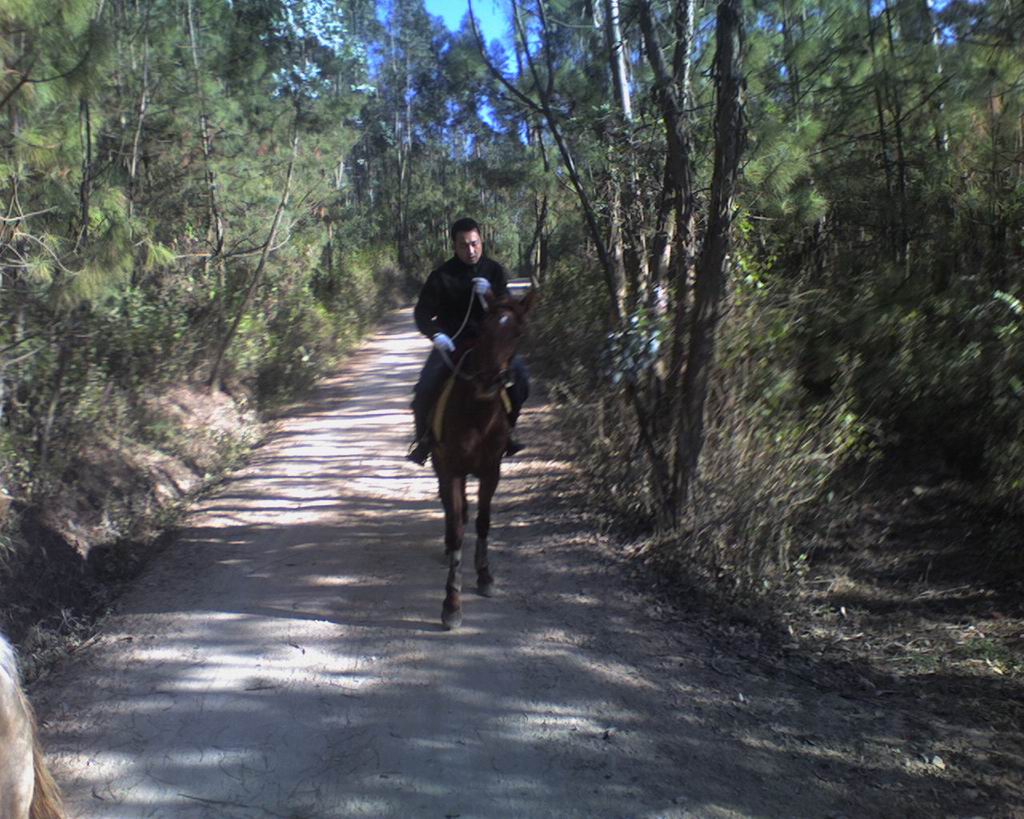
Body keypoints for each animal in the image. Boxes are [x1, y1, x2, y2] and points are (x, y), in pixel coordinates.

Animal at [432, 288, 536, 626]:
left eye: (518, 333)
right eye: (482, 329)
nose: (490, 381)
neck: (478, 414)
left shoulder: (492, 470)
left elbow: (483, 523)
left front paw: (484, 575)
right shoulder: (452, 470)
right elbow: (457, 529)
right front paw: (451, 603)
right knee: (452, 511)